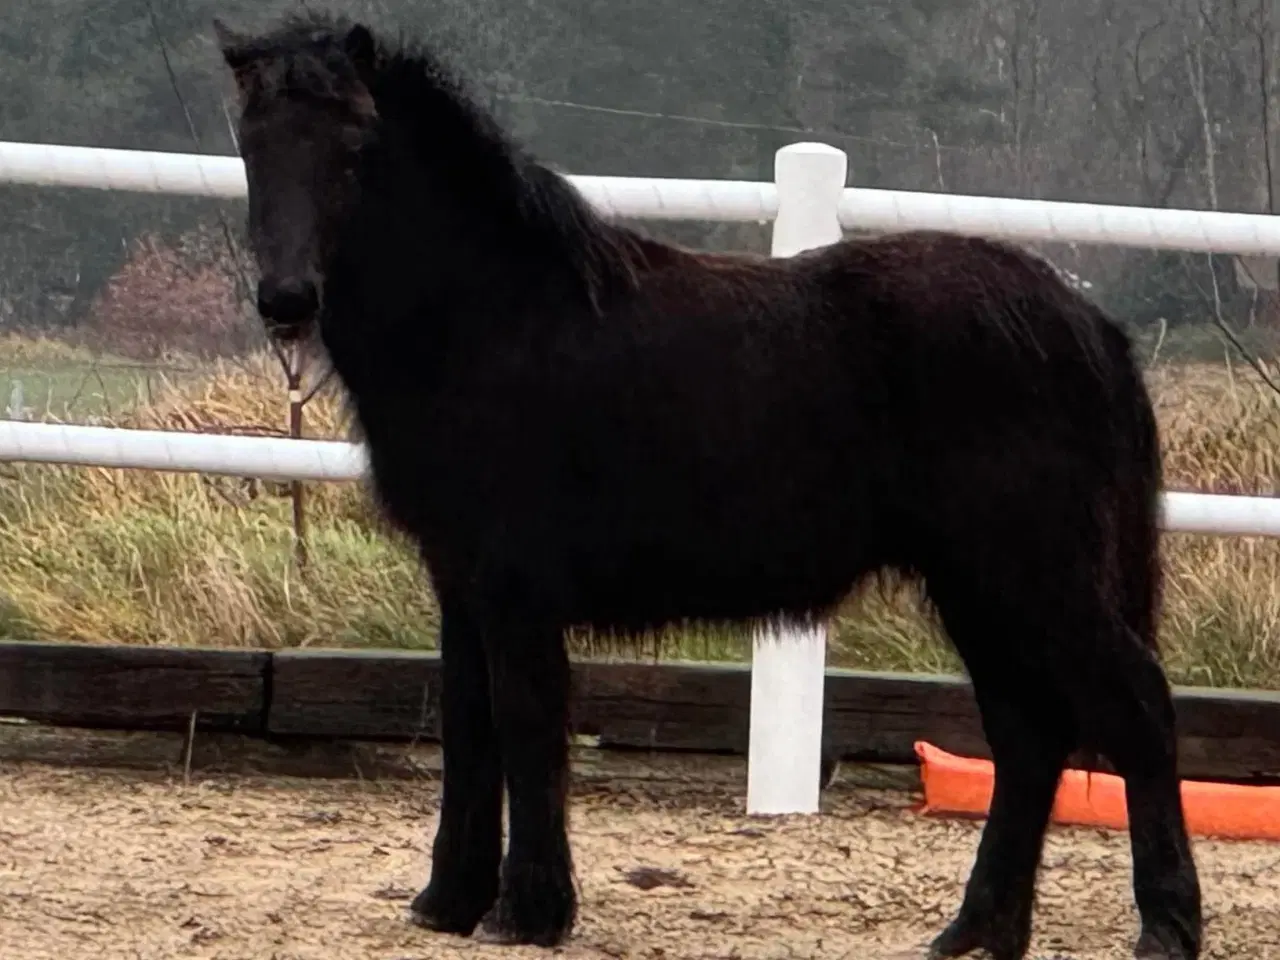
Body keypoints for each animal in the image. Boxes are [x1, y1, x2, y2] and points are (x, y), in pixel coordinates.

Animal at [215, 11, 1203, 957]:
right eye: (252, 139)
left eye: (355, 140)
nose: (287, 300)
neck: (491, 320)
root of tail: (1083, 320)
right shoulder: (460, 582)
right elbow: (468, 727)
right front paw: (448, 902)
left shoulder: (514, 588)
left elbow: (527, 727)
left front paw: (527, 912)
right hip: (979, 587)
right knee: (1027, 738)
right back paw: (976, 932)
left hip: (1032, 576)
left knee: (1137, 709)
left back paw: (1165, 928)